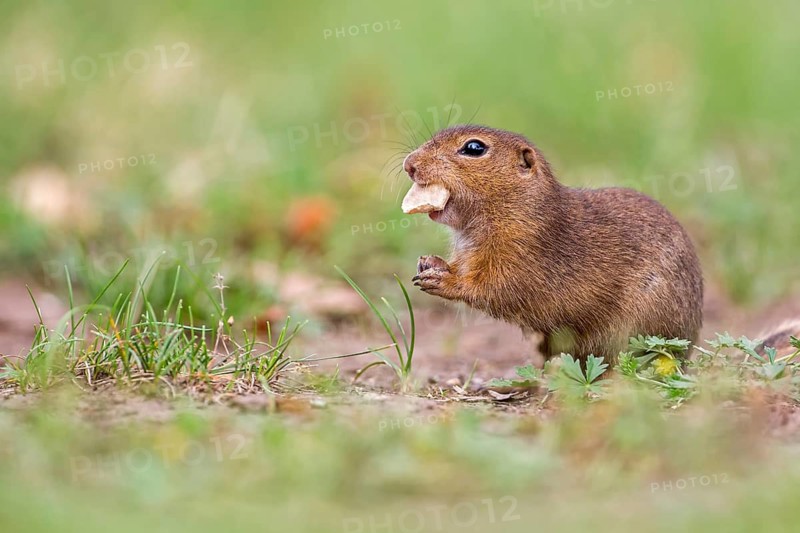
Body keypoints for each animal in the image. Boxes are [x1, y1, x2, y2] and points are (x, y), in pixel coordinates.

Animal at [401, 125, 704, 361]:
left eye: (474, 147)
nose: (409, 164)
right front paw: (430, 262)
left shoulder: (521, 255)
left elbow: (493, 288)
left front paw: (442, 280)